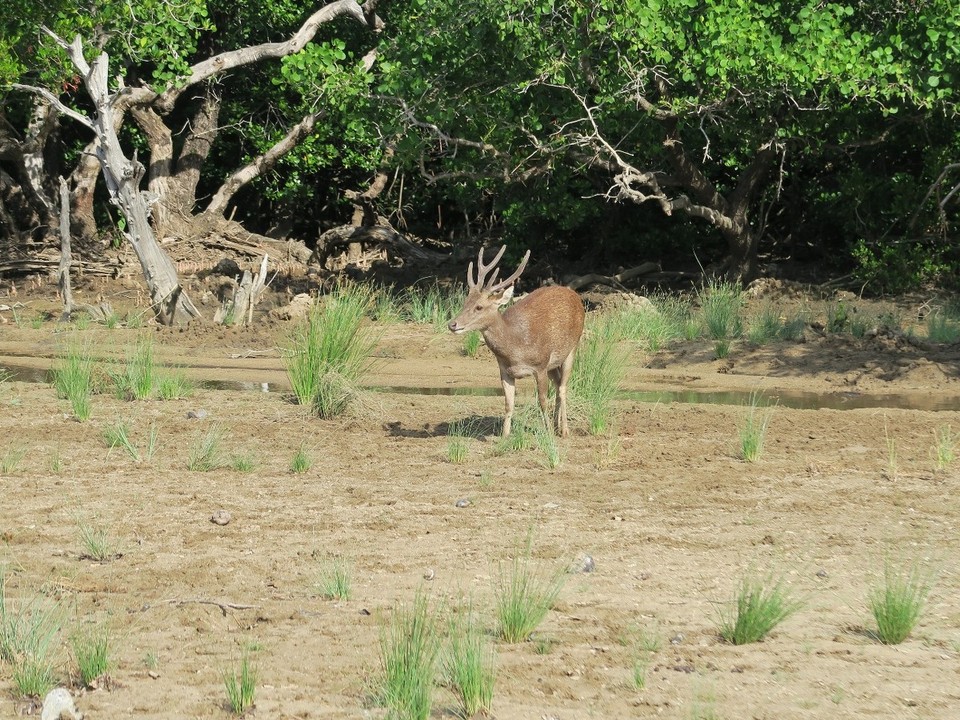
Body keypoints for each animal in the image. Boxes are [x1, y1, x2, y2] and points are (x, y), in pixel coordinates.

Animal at [448, 248, 584, 436]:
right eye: (464, 303)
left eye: (479, 307)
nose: (452, 324)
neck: (516, 348)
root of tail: (576, 296)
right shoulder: (505, 371)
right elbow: (508, 404)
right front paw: (505, 435)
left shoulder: (540, 365)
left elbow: (542, 401)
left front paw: (548, 433)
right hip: (553, 364)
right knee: (558, 385)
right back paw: (557, 425)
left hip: (572, 347)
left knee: (563, 388)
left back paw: (563, 430)